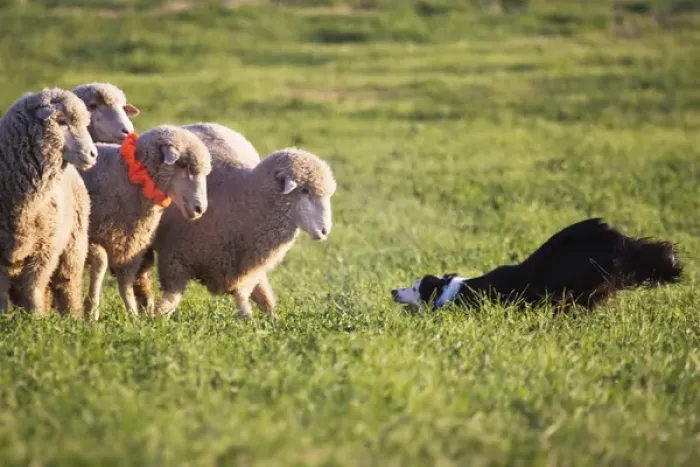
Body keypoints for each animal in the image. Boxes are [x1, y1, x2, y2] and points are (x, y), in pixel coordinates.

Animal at [0, 88, 97, 317]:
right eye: (61, 122)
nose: (93, 154)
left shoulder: (45, 250)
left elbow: (33, 286)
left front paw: (36, 319)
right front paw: (4, 316)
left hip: (74, 244)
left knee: (67, 283)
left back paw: (72, 317)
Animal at [81, 124, 212, 319]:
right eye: (183, 165)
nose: (200, 209)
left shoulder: (131, 245)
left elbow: (126, 285)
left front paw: (133, 317)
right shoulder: (87, 237)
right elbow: (101, 263)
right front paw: (92, 312)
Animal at [137, 146, 336, 318]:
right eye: (305, 191)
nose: (325, 231)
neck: (245, 200)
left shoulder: (245, 269)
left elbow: (242, 298)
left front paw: (252, 320)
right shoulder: (174, 259)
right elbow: (172, 297)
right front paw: (156, 317)